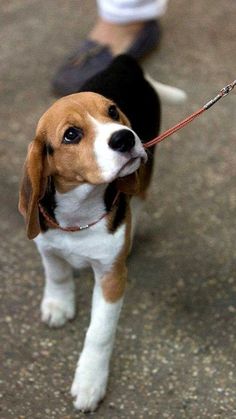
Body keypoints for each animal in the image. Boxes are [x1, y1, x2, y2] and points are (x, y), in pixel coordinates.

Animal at [18, 54, 185, 412]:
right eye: (71, 135)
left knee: (141, 194)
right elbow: (57, 273)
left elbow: (100, 332)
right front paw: (58, 304)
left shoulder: (111, 275)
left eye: (112, 112)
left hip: (147, 164)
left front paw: (90, 382)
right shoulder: (46, 245)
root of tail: (124, 61)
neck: (80, 211)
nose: (124, 138)